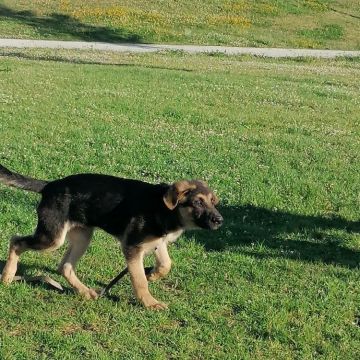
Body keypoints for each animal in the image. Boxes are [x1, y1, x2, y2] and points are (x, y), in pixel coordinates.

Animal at [0, 165, 222, 308]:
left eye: (213, 202)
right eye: (198, 202)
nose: (220, 220)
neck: (163, 208)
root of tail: (49, 186)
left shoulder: (156, 242)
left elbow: (166, 264)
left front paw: (153, 274)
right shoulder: (132, 247)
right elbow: (139, 280)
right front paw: (150, 303)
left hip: (82, 237)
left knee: (65, 266)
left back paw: (85, 292)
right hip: (52, 238)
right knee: (16, 241)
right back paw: (8, 275)